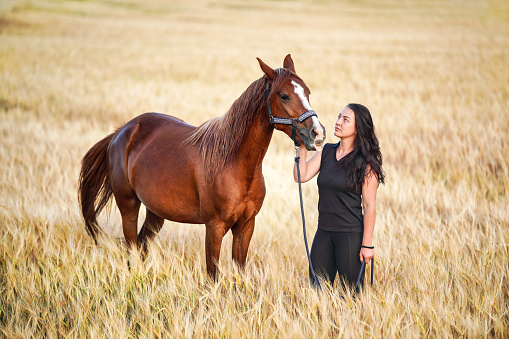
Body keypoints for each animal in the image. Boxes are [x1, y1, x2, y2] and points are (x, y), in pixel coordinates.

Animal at [78, 55, 326, 278]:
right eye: (284, 95)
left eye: (308, 92)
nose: (317, 133)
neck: (234, 163)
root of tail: (121, 132)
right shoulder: (214, 227)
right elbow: (212, 275)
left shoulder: (246, 226)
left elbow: (240, 271)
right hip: (128, 204)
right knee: (130, 247)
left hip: (155, 212)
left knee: (141, 245)